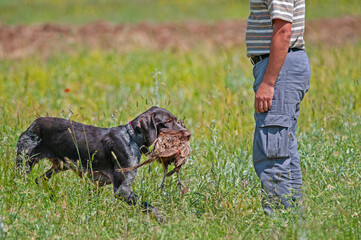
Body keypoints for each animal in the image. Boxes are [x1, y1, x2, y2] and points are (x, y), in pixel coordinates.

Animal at [15, 106, 190, 220]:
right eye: (168, 121)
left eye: (176, 120)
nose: (188, 134)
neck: (131, 137)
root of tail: (33, 124)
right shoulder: (121, 190)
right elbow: (149, 206)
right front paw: (164, 220)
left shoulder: (97, 184)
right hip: (24, 163)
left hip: (59, 166)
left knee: (40, 179)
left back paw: (52, 196)